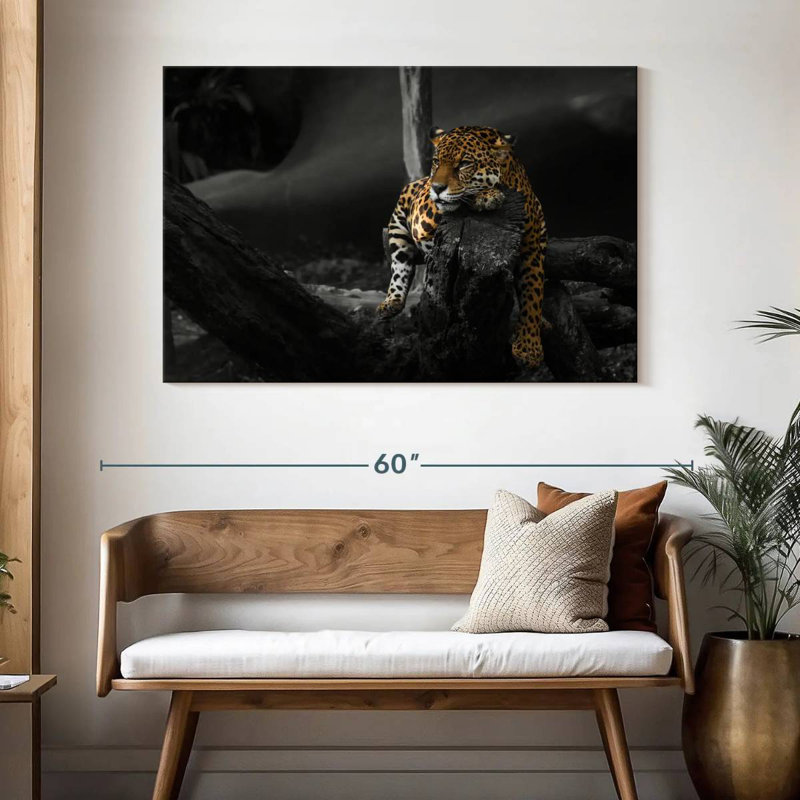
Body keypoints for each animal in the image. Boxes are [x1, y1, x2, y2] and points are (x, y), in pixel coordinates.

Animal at [376, 125, 546, 369]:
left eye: (464, 164)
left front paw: (529, 348)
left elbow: (533, 293)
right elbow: (458, 199)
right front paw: (487, 195)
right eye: (436, 161)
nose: (437, 187)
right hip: (401, 222)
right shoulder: (424, 211)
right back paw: (391, 302)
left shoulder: (531, 248)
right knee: (400, 265)